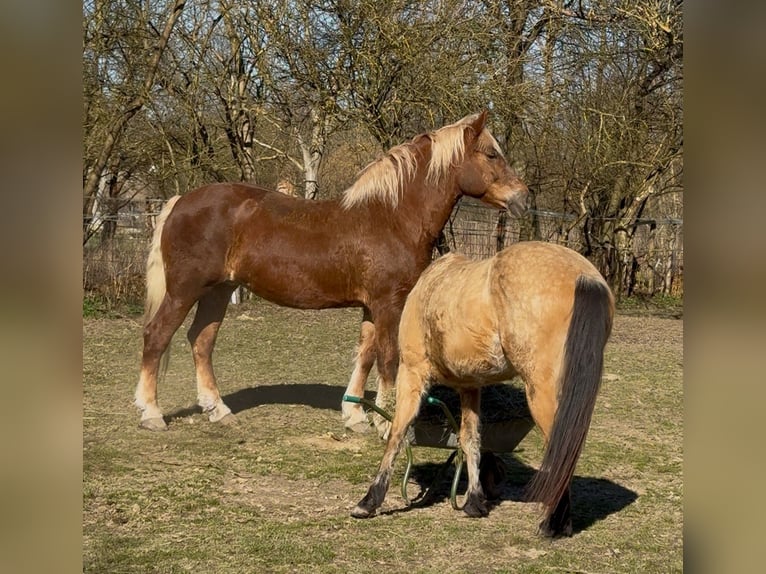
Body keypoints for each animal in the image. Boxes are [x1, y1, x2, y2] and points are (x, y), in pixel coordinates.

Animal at [134, 111, 529, 434]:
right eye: (491, 154)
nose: (522, 198)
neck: (391, 216)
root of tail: (180, 202)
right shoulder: (389, 304)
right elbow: (388, 358)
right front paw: (388, 424)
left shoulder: (372, 306)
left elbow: (365, 354)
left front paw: (356, 416)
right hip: (185, 290)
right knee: (157, 336)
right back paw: (151, 413)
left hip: (218, 291)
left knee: (201, 341)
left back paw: (217, 409)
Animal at [351, 241, 614, 538]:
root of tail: (583, 276)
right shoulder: (470, 386)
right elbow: (470, 438)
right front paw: (474, 501)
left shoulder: (412, 374)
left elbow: (396, 433)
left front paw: (369, 501)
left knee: (560, 452)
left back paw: (553, 524)